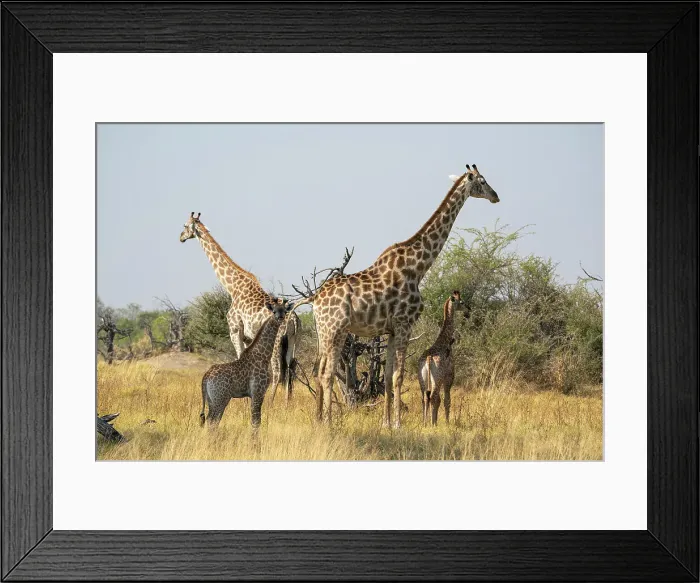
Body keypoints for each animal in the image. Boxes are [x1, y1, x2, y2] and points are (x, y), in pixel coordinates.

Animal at [179, 213, 300, 402]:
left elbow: (238, 359)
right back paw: (287, 403)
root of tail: (293, 317)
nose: (181, 237)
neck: (233, 287)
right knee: (290, 367)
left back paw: (271, 403)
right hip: (293, 340)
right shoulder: (248, 336)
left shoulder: (235, 330)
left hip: (278, 341)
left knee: (277, 371)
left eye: (185, 225)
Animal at [199, 298, 295, 428]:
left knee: (210, 421)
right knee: (213, 421)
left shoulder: (255, 393)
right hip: (220, 399)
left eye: (284, 311)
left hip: (211, 400)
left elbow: (256, 420)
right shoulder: (258, 391)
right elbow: (256, 421)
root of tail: (206, 377)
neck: (262, 355)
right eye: (274, 311)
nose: (280, 317)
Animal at [418, 290, 469, 426]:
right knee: (434, 397)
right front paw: (447, 422)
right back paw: (432, 424)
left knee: (425, 397)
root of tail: (428, 359)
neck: (445, 340)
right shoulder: (449, 377)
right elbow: (447, 400)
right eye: (462, 302)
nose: (468, 311)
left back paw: (425, 423)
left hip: (422, 379)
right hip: (437, 379)